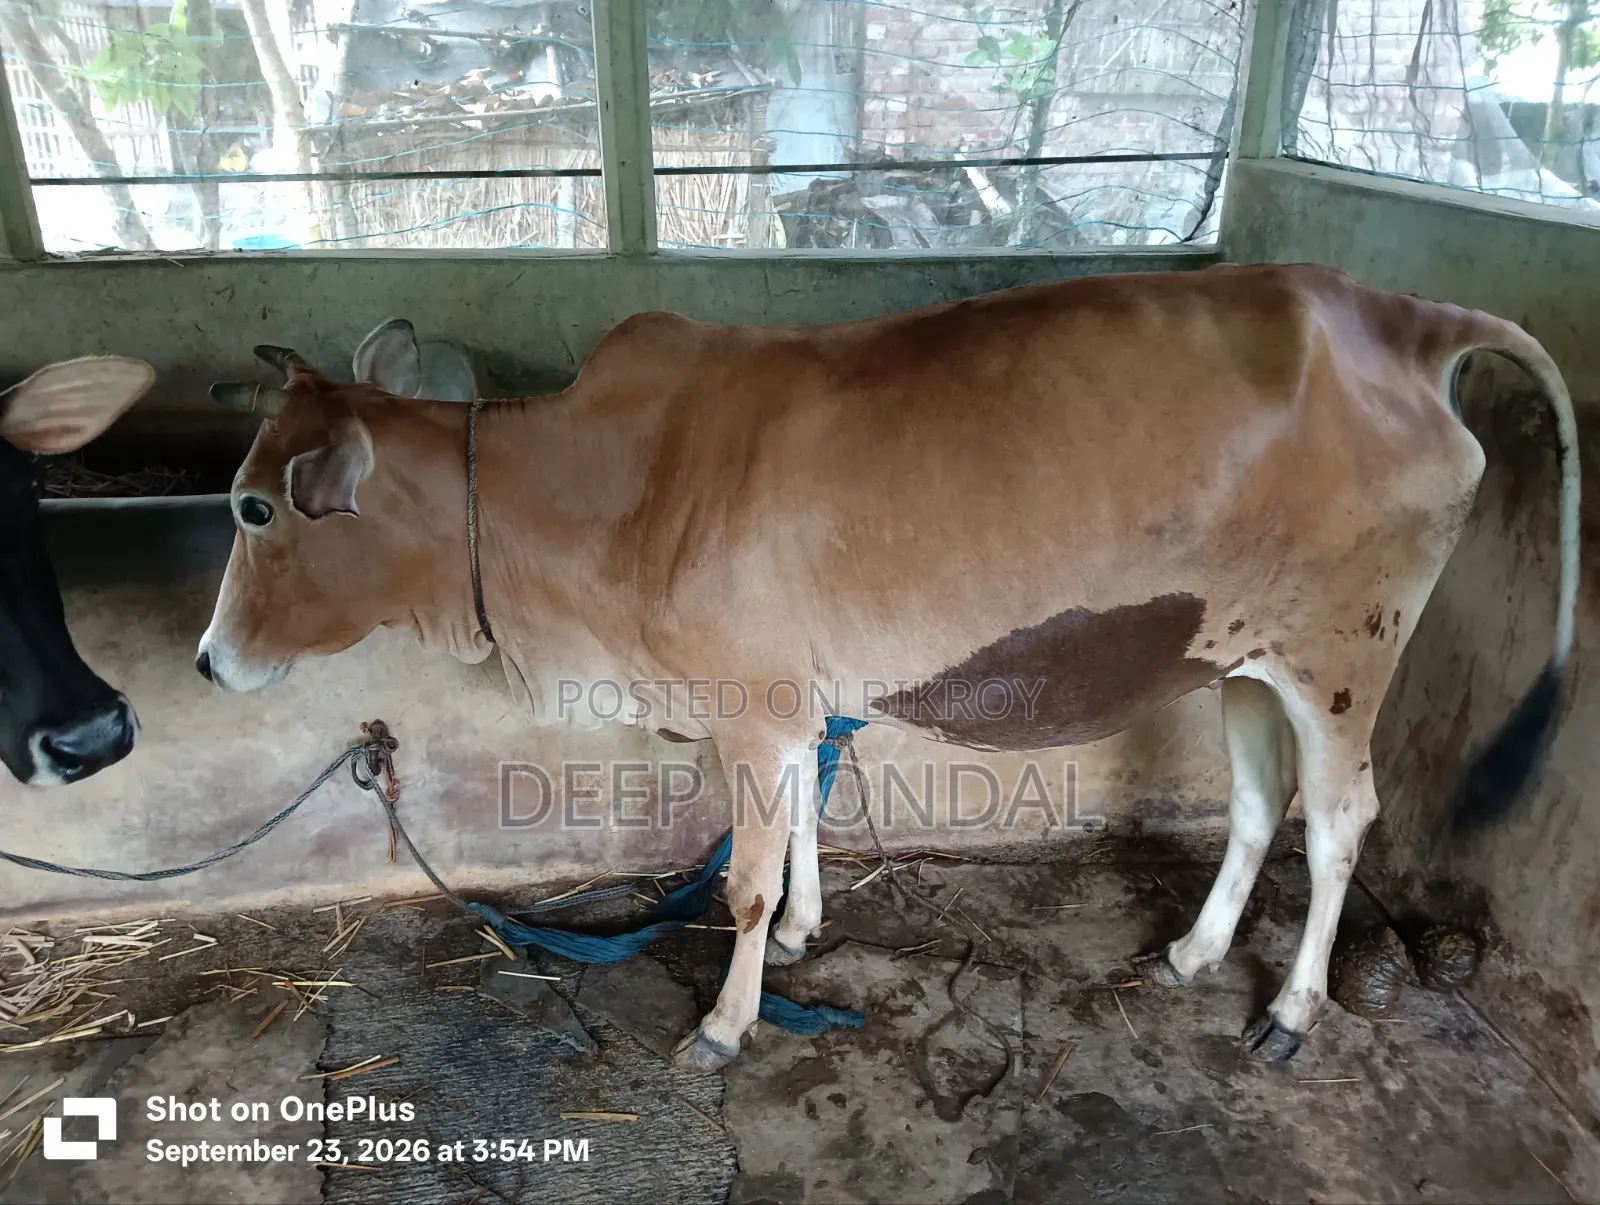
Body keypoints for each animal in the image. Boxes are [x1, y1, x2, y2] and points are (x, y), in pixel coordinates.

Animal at [194, 263, 1579, 1069]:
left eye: (255, 507)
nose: (205, 662)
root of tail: (1398, 318)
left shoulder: (751, 707)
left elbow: (742, 879)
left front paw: (726, 1021)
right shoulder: (791, 703)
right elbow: (804, 824)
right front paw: (809, 933)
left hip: (1345, 653)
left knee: (1342, 820)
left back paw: (1289, 1016)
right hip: (1237, 655)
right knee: (1256, 801)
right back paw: (1193, 953)